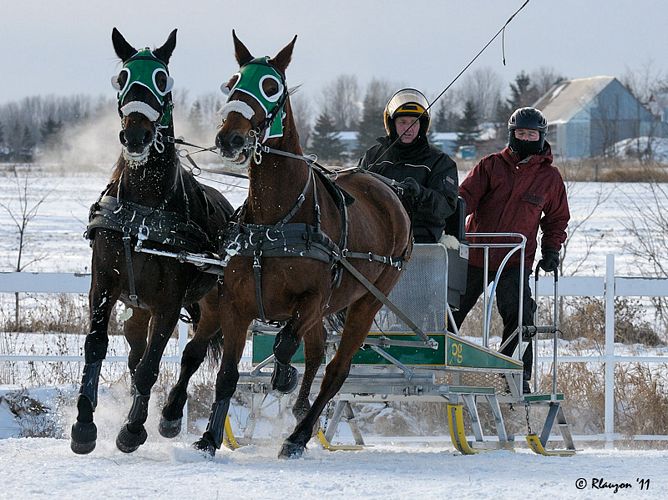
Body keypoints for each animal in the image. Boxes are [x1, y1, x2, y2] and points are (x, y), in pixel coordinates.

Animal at [70, 29, 232, 456]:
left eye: (162, 78)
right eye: (123, 77)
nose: (136, 134)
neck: (143, 211)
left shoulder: (169, 303)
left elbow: (151, 366)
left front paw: (132, 429)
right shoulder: (104, 285)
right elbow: (97, 346)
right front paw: (84, 425)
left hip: (216, 304)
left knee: (193, 354)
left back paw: (171, 416)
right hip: (138, 302)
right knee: (134, 341)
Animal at [187, 33, 412, 458]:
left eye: (270, 85)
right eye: (233, 80)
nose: (230, 138)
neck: (277, 220)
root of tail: (386, 188)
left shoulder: (313, 300)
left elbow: (284, 344)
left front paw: (283, 378)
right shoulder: (236, 304)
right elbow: (228, 374)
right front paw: (208, 437)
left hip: (368, 301)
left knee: (335, 369)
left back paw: (298, 434)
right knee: (318, 353)